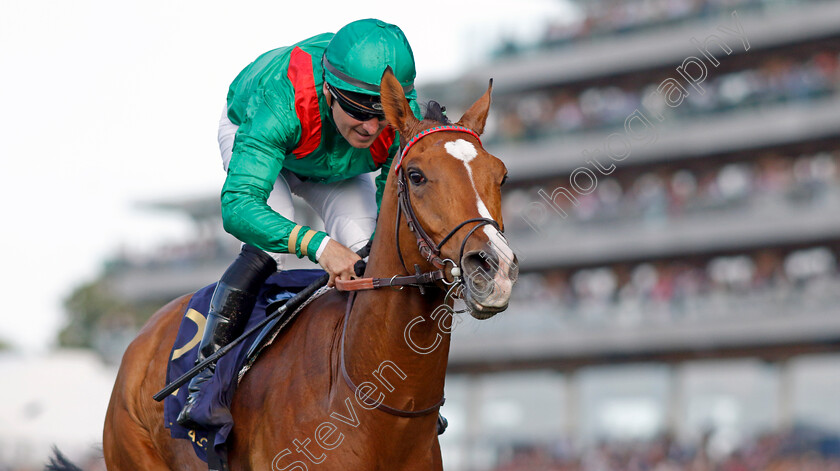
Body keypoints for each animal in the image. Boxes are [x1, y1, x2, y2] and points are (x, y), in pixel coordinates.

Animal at [101, 71, 516, 471]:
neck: (379, 412)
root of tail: (143, 337)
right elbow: (241, 201)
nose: (494, 268)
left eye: (501, 175)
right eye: (416, 175)